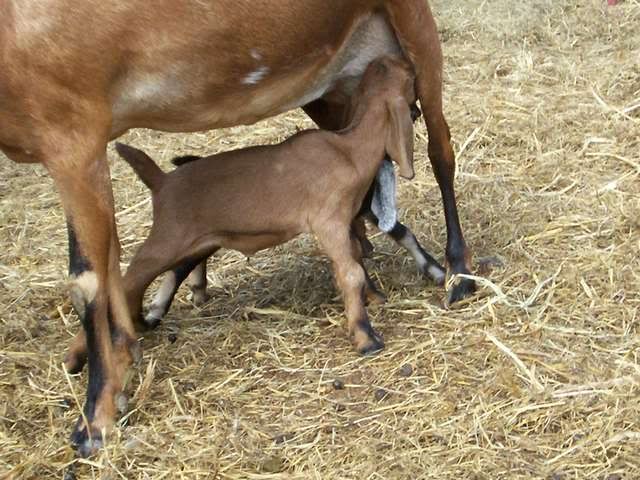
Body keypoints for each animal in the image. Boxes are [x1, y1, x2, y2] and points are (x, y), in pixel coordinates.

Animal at [0, 0, 474, 455]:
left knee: (441, 152)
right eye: (391, 76)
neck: (348, 150)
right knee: (136, 269)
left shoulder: (73, 133)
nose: (399, 68)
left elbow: (90, 277)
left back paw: (456, 274)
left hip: (409, 30)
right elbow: (95, 276)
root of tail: (162, 181)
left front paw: (96, 412)